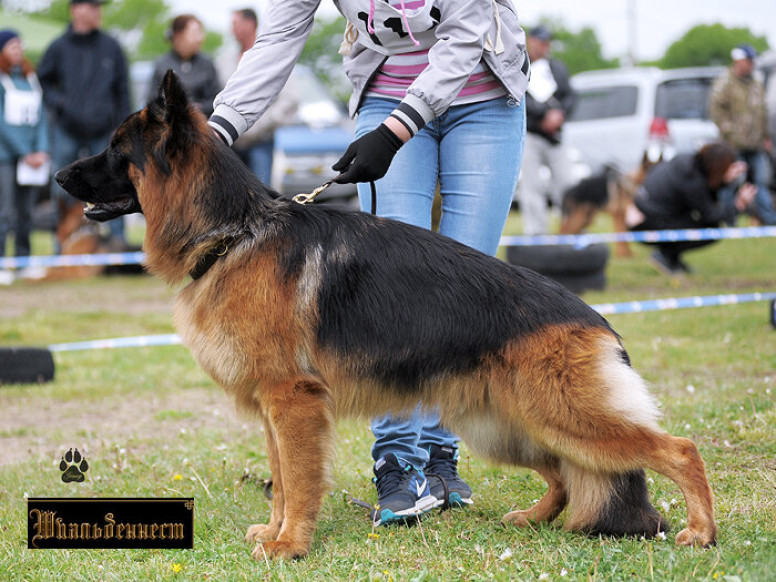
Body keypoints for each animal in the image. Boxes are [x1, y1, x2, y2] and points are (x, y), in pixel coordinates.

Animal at [54, 72, 716, 560]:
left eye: (116, 150)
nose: (58, 174)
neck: (233, 232)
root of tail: (598, 321)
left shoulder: (292, 402)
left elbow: (298, 480)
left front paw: (291, 546)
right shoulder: (272, 407)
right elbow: (280, 479)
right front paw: (274, 533)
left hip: (561, 416)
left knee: (677, 449)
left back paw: (701, 532)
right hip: (509, 424)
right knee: (563, 474)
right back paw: (534, 518)